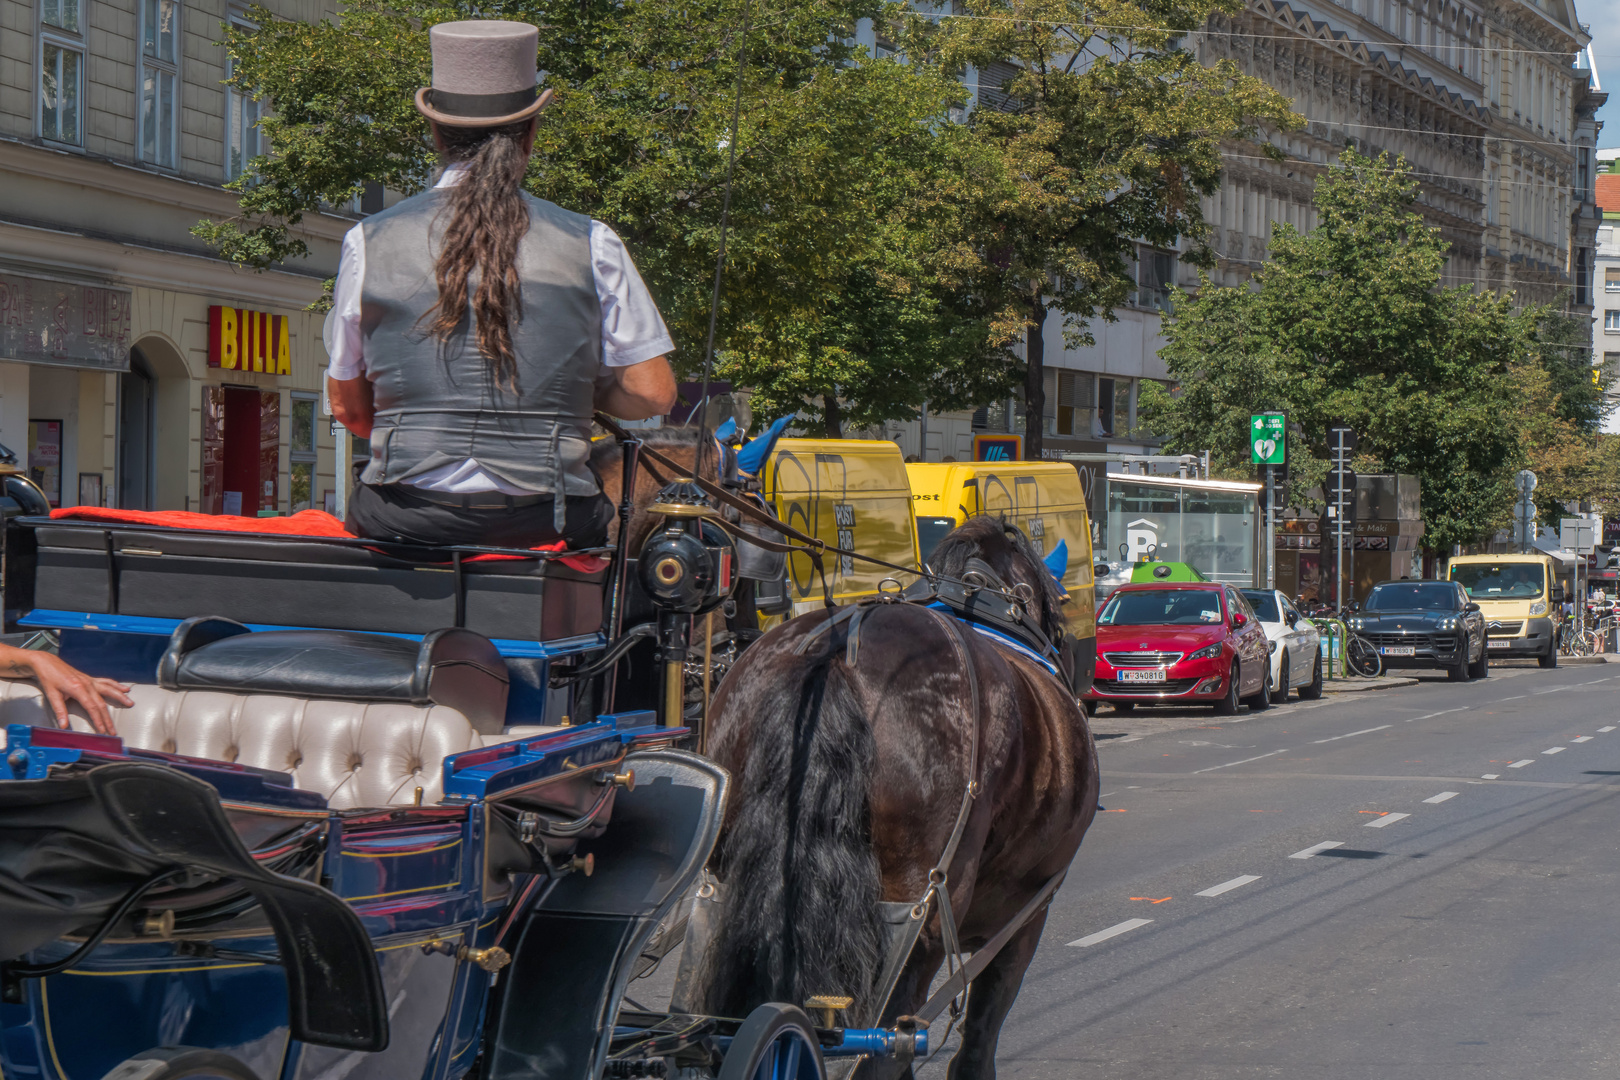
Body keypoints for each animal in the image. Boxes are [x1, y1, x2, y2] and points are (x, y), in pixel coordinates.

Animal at [690, 514, 1095, 1080]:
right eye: (1059, 606)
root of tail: (833, 656)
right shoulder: (1027, 911)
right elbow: (978, 1035)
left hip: (728, 886)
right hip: (920, 914)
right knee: (883, 1042)